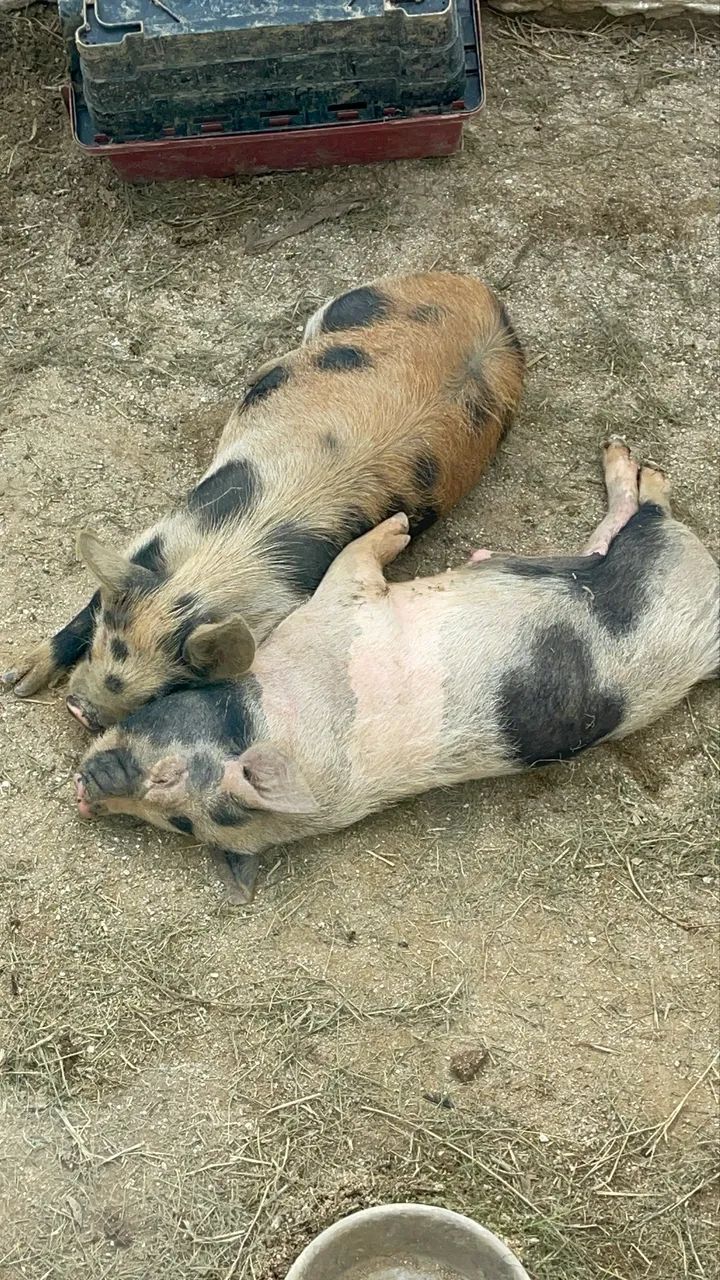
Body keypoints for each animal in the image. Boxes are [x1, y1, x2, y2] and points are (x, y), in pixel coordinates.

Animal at [1, 273, 524, 731]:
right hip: (346, 306)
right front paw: (17, 682)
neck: (219, 563)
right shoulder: (158, 537)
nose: (78, 710)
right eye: (102, 643)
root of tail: (482, 293)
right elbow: (90, 602)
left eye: (164, 691)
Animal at [74, 439, 719, 904]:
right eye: (180, 825)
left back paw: (635, 465)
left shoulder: (342, 608)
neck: (279, 714)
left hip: (655, 557)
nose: (84, 795)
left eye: (168, 783)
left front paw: (401, 524)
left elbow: (358, 553)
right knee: (620, 528)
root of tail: (707, 631)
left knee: (649, 516)